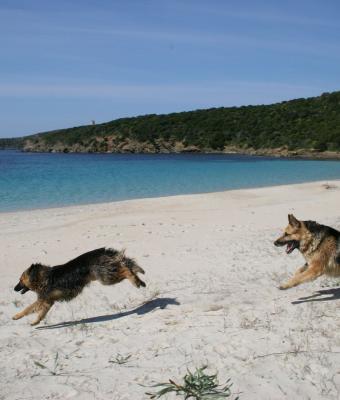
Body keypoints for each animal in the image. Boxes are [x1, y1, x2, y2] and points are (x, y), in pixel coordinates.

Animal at [12, 247, 145, 324]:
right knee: (125, 264)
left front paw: (16, 316)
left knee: (125, 269)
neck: (42, 277)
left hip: (105, 277)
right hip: (108, 272)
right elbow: (41, 313)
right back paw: (139, 280)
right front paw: (36, 322)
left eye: (20, 280)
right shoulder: (47, 301)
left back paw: (134, 280)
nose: (14, 289)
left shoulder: (43, 299)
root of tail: (103, 251)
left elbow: (28, 308)